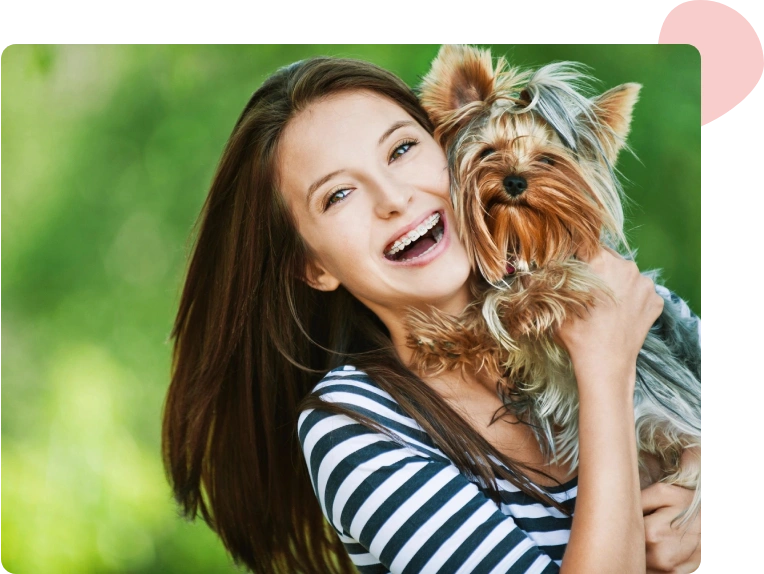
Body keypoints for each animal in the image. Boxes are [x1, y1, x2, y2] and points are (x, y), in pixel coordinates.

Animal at [402, 44, 700, 520]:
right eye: (488, 151)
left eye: (546, 159)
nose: (514, 180)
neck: (520, 237)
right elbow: (489, 314)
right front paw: (444, 336)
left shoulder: (582, 278)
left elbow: (526, 296)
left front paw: (504, 313)